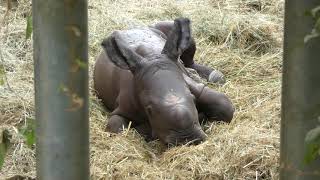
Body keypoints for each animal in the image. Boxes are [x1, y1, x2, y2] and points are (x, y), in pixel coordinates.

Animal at [94, 17, 234, 146]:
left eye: (193, 98)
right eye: (149, 109)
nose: (188, 139)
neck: (151, 57)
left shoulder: (193, 85)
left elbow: (225, 106)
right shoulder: (123, 107)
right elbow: (116, 127)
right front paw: (147, 131)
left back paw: (209, 75)